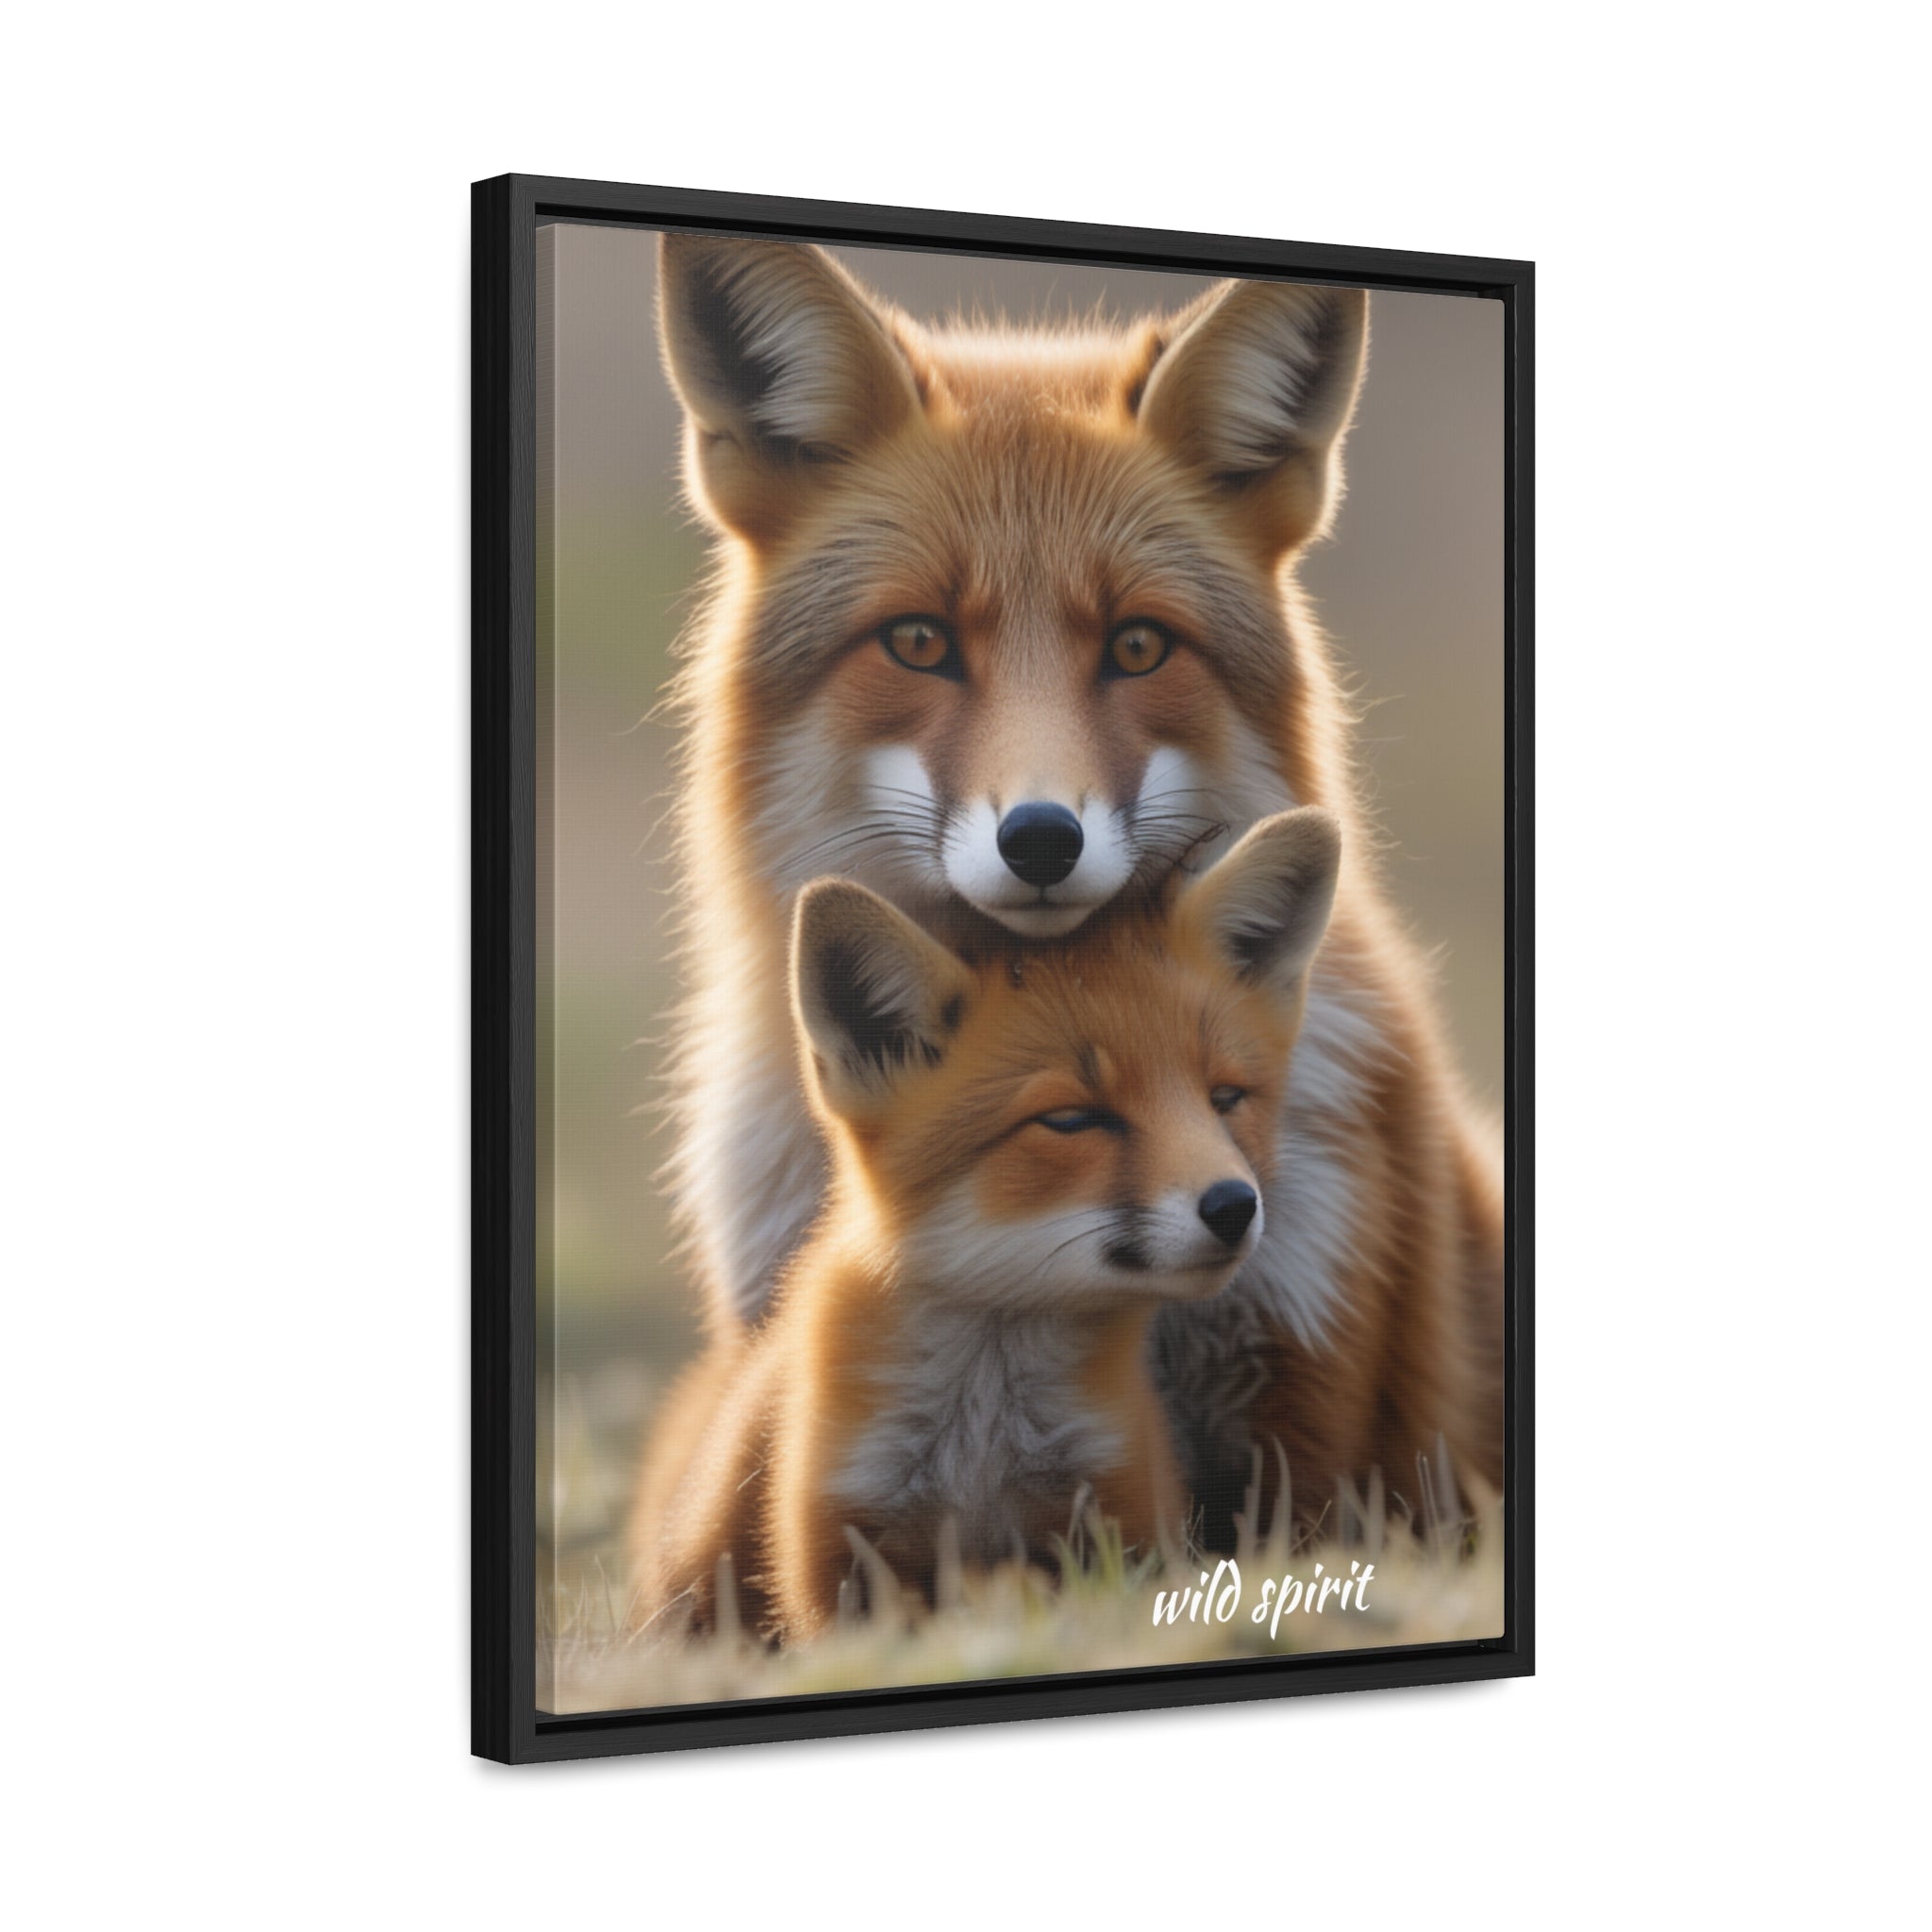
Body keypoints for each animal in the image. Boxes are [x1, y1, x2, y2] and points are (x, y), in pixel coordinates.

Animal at [629, 810, 1342, 1641]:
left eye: (1225, 1099)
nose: (1233, 1205)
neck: (983, 1442)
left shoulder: (1119, 1515)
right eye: (1071, 1119)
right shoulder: (837, 1553)